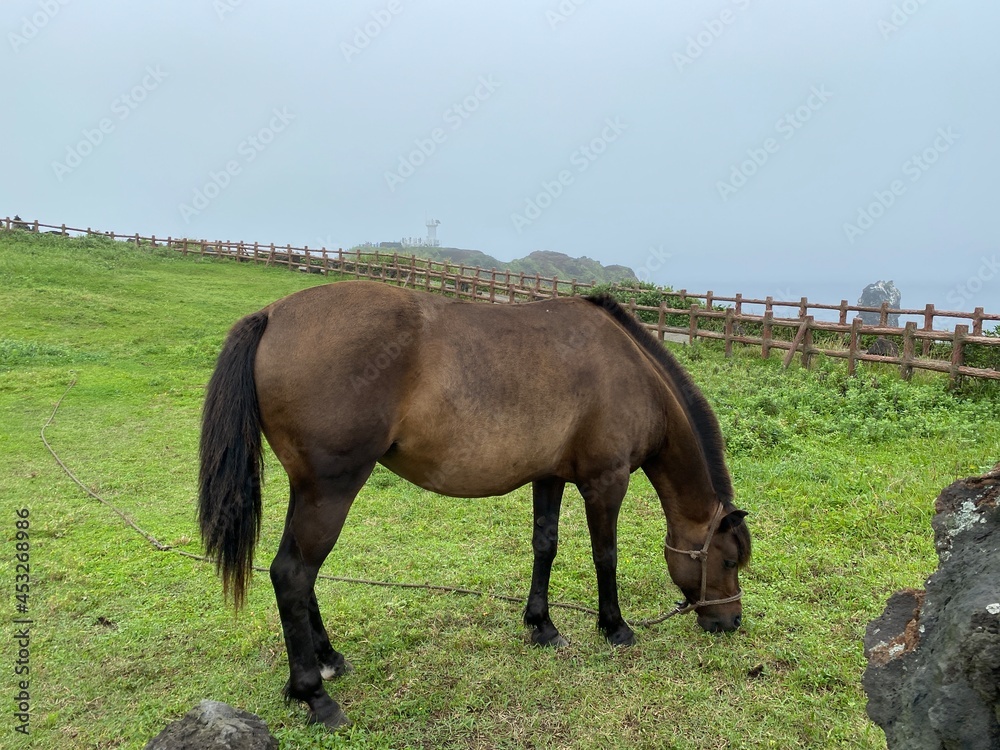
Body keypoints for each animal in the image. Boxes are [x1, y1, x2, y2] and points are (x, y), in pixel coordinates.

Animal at [198, 280, 751, 730]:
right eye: (727, 561)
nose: (730, 623)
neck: (632, 371)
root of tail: (272, 315)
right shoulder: (605, 482)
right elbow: (605, 556)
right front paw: (615, 627)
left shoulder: (549, 475)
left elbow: (545, 546)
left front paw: (542, 626)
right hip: (331, 489)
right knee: (293, 574)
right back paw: (316, 697)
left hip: (308, 489)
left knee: (297, 574)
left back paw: (327, 660)